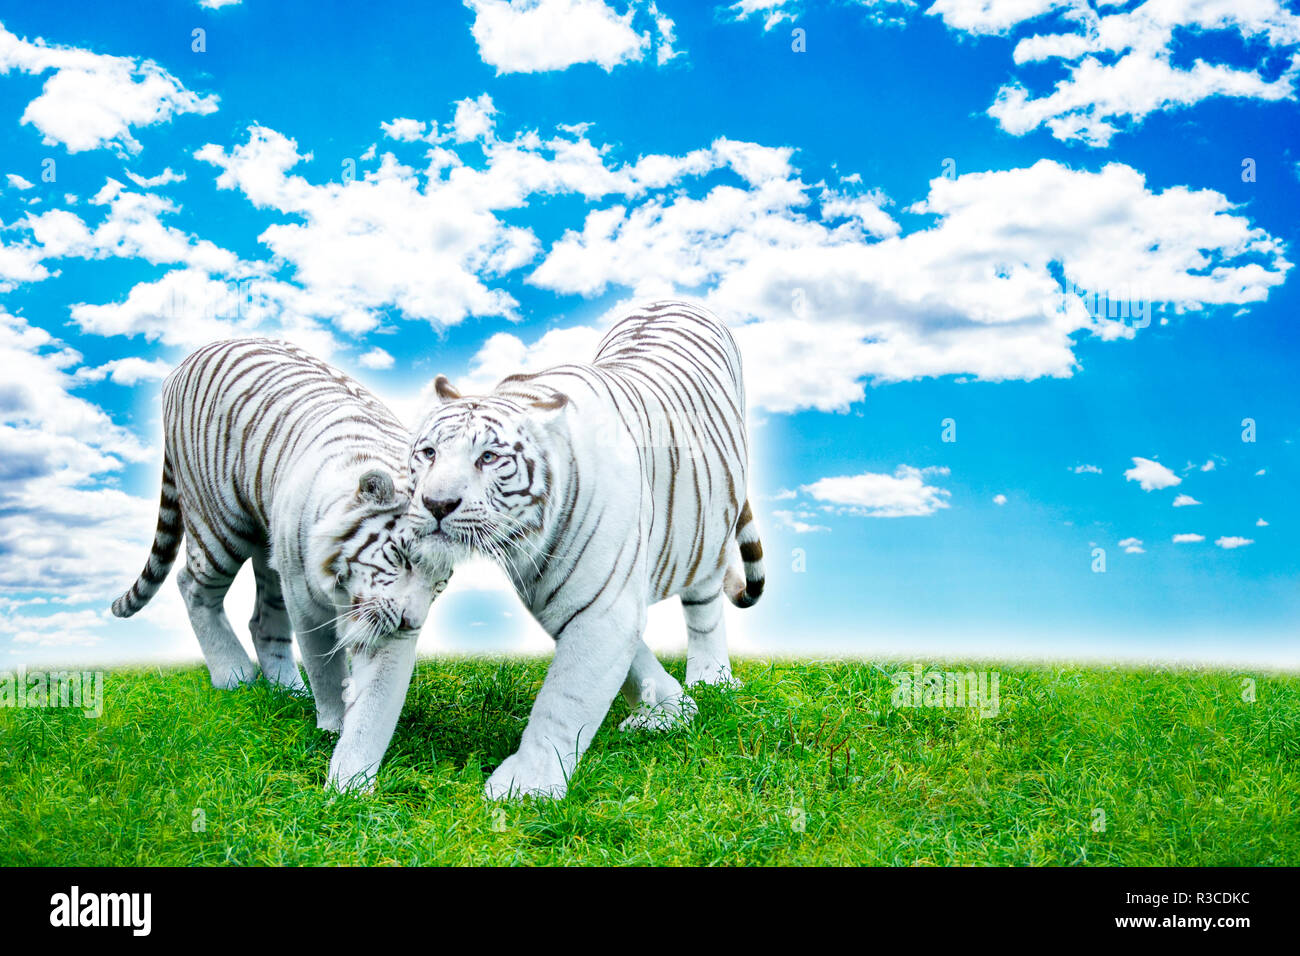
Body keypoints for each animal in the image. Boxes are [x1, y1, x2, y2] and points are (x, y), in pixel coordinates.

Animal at [111, 338, 451, 791]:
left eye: (440, 584)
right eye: (402, 557)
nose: (414, 622)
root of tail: (188, 359)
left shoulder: (384, 627)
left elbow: (374, 709)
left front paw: (350, 787)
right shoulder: (308, 603)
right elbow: (325, 668)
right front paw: (331, 727)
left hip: (270, 553)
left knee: (260, 621)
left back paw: (287, 692)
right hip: (220, 526)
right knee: (191, 584)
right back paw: (234, 675)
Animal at [407, 300, 765, 799]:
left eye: (489, 458)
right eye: (429, 454)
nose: (436, 504)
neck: (528, 539)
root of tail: (674, 299)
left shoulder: (601, 604)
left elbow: (566, 698)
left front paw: (527, 785)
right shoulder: (558, 593)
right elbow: (626, 660)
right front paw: (669, 708)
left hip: (710, 526)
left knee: (705, 605)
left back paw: (713, 679)